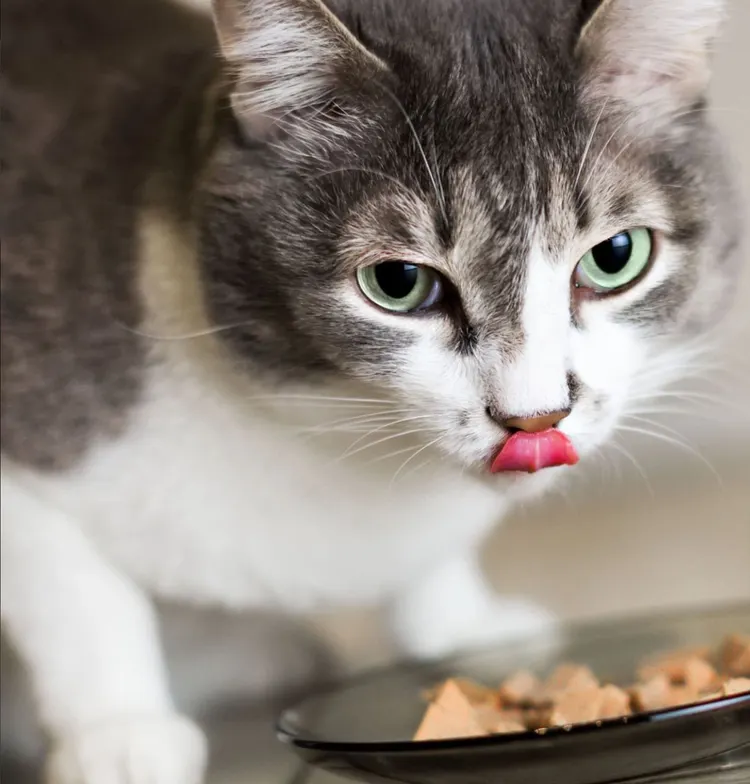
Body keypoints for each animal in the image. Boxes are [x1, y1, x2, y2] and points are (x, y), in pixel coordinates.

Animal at [0, 0, 744, 776]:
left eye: (615, 256)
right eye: (397, 282)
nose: (535, 417)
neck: (338, 445)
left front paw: (458, 624)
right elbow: (77, 596)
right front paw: (118, 734)